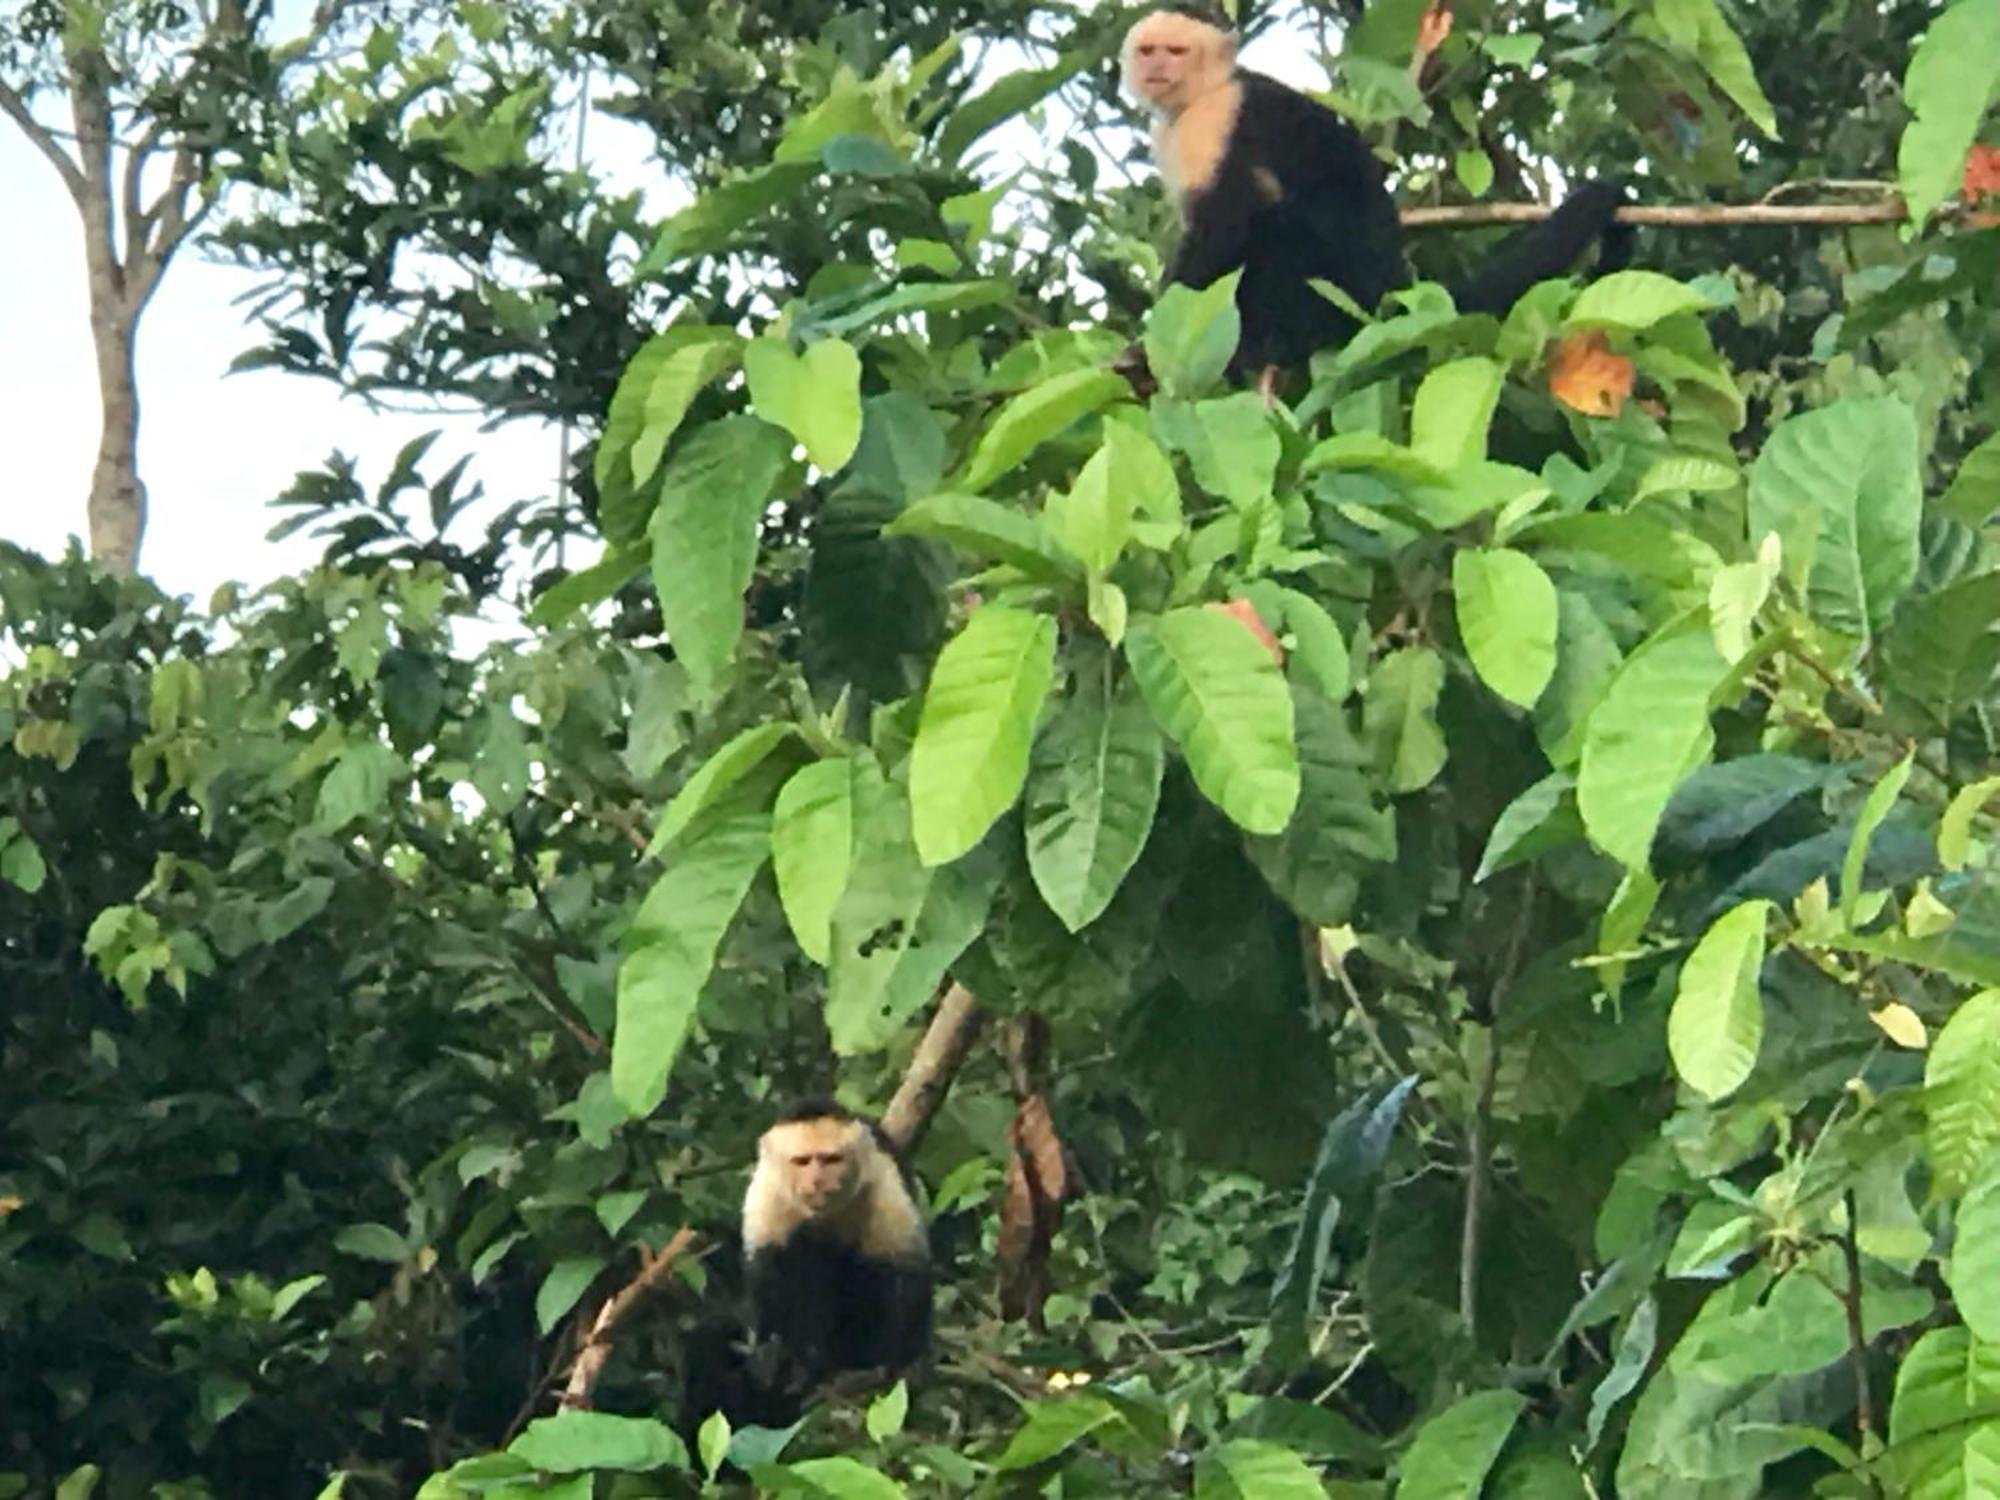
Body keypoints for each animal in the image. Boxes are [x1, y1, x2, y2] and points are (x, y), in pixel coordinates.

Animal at [684, 1104, 932, 1432]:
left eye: (830, 1159)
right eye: (802, 1162)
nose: (816, 1181)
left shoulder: (882, 1180)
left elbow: (904, 1269)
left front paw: (902, 1365)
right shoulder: (768, 1192)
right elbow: (768, 1272)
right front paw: (775, 1357)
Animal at [1120, 7, 1632, 394]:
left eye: (1176, 51)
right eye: (1148, 50)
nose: (1156, 67)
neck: (1207, 91)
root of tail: (1391, 290)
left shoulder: (1212, 122)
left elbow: (1223, 226)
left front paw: (1148, 350)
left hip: (1336, 294)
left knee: (1280, 226)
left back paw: (1265, 346)